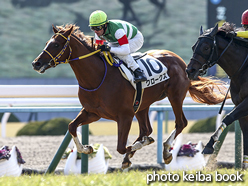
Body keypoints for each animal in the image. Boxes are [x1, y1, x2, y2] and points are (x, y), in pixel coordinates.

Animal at [32, 23, 227, 169]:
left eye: (56, 45)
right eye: (48, 42)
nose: (36, 63)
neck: (97, 78)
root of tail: (180, 61)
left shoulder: (124, 116)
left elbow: (121, 146)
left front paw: (138, 147)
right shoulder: (92, 113)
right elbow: (72, 126)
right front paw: (86, 149)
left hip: (175, 96)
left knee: (180, 123)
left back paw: (165, 151)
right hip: (142, 105)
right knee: (146, 129)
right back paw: (131, 156)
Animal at [186, 21, 248, 169]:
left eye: (206, 47)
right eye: (193, 47)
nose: (189, 70)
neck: (243, 70)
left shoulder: (246, 103)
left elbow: (228, 117)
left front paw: (209, 144)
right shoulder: (240, 104)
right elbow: (245, 132)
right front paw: (244, 166)